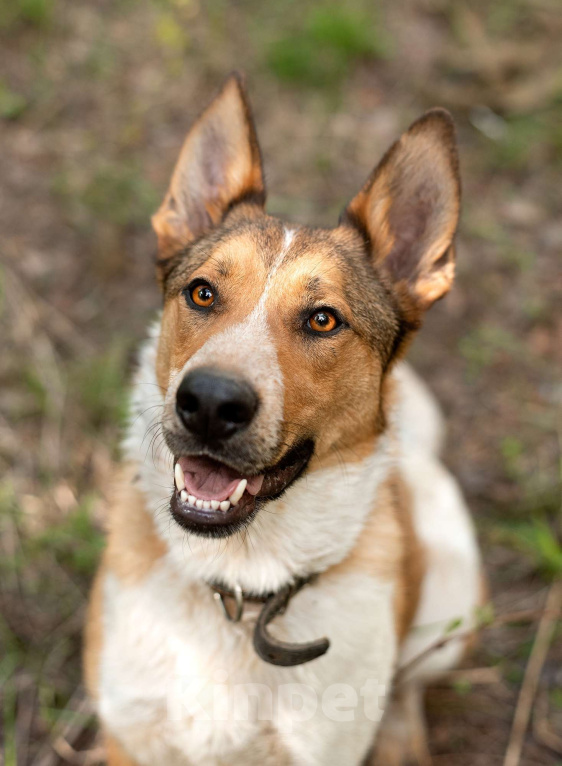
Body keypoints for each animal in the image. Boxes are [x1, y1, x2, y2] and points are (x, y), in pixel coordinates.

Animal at [84, 73, 482, 766]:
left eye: (323, 319)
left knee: (409, 683)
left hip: (453, 600)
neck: (238, 589)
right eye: (202, 292)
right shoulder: (128, 732)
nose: (210, 403)